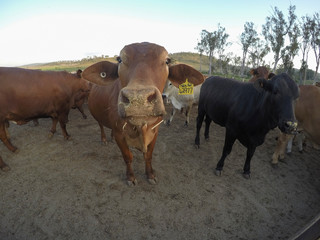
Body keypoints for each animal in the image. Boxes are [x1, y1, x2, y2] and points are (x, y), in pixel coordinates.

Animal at [81, 42, 204, 186]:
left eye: (167, 61)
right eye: (120, 60)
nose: (138, 99)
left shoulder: (154, 132)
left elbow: (148, 156)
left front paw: (150, 174)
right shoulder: (119, 135)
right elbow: (128, 157)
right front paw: (130, 177)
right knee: (101, 125)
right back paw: (104, 139)